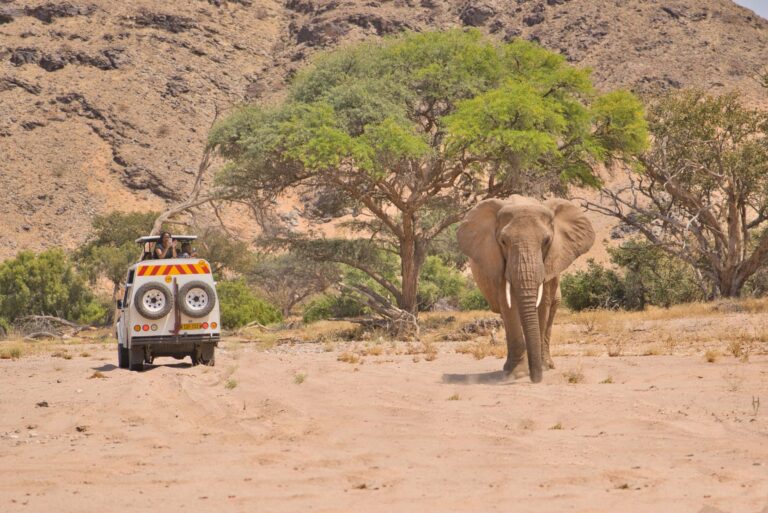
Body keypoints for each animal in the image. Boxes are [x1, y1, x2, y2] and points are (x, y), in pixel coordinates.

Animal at [456, 195, 595, 383]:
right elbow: (509, 307)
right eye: (503, 241)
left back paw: (548, 365)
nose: (535, 379)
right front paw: (518, 374)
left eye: (546, 241)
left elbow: (542, 306)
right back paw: (508, 368)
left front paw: (540, 369)